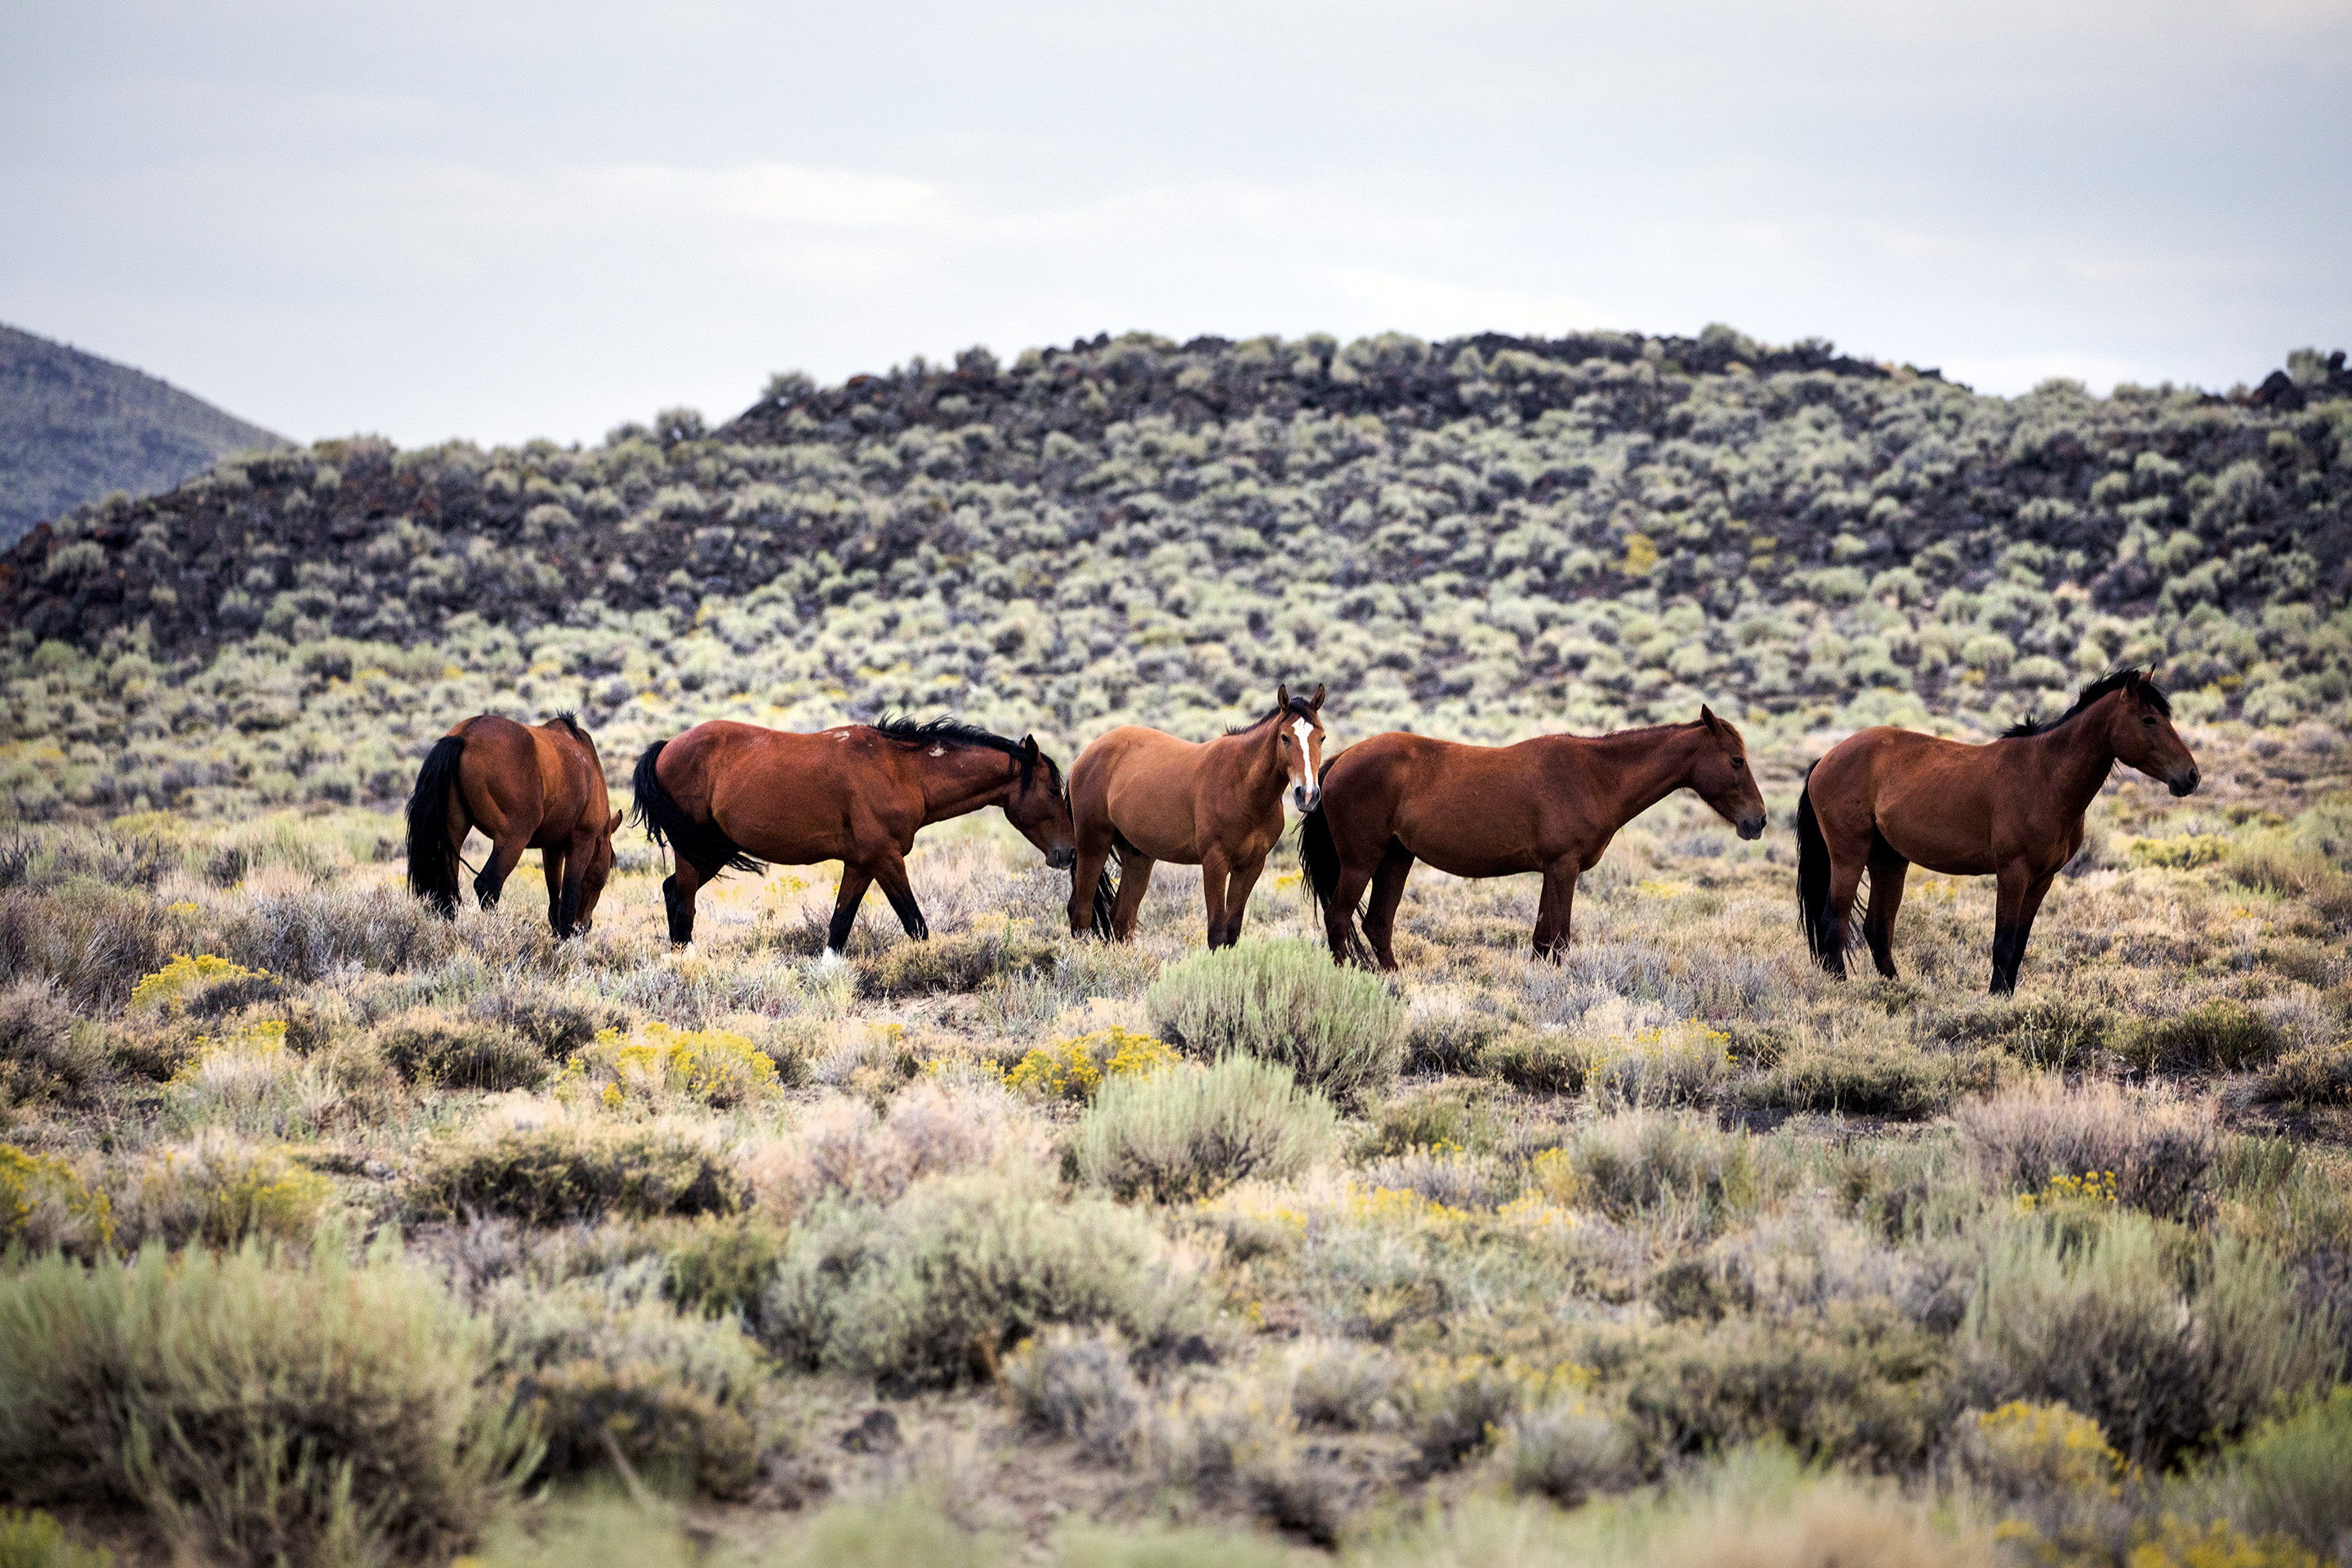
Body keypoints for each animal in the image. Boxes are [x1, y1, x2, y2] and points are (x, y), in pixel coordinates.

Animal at [409, 715, 621, 945]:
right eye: (605, 871)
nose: (584, 926)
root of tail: (464, 735)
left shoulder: (552, 848)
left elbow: (554, 900)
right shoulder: (582, 841)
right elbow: (567, 901)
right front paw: (566, 941)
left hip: (453, 835)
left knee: (448, 892)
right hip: (513, 839)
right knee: (488, 886)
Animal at [635, 715, 1077, 959]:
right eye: (1052, 789)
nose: (1069, 853)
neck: (902, 771)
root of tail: (667, 747)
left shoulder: (861, 863)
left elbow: (839, 925)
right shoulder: (885, 859)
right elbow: (915, 924)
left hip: (711, 852)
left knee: (673, 891)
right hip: (695, 850)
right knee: (684, 900)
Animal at [1062, 681, 1326, 949]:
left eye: (1322, 738)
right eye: (1285, 738)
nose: (1307, 794)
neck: (1242, 785)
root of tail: (1085, 755)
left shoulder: (1250, 866)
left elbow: (1232, 933)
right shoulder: (1215, 863)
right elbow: (1217, 934)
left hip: (1138, 856)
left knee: (1121, 918)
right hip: (1093, 845)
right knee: (1080, 910)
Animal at [1307, 705, 1768, 964]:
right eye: (1736, 760)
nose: (1758, 821)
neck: (1594, 776)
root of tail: (1339, 759)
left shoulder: (1553, 871)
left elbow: (1541, 941)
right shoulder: (1564, 868)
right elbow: (1559, 940)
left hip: (1396, 859)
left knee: (1377, 927)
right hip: (1361, 862)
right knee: (1339, 919)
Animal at [1797, 667, 2201, 991]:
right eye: (2149, 720)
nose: (2191, 776)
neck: (2046, 777)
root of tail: (1825, 759)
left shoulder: (2041, 880)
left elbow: (2018, 948)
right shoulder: (2012, 874)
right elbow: (2003, 945)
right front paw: (1994, 1001)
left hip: (1889, 860)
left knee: (1877, 931)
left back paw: (1898, 991)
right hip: (1849, 857)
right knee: (1834, 925)